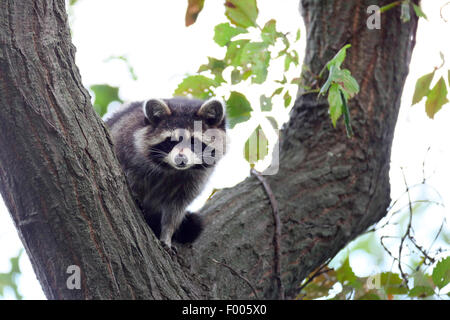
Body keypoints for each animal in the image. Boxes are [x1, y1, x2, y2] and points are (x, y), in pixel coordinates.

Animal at [104, 97, 225, 250]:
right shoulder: (125, 143)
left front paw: (167, 233)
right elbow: (127, 172)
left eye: (193, 142)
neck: (172, 168)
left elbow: (176, 208)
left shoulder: (195, 180)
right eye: (171, 142)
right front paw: (134, 191)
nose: (180, 159)